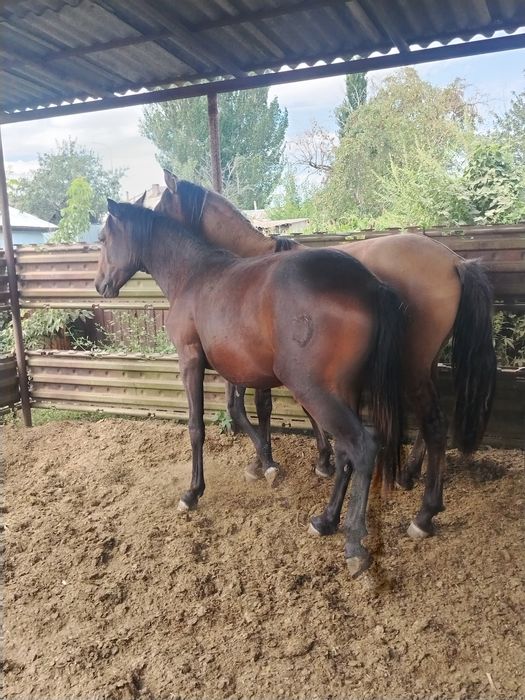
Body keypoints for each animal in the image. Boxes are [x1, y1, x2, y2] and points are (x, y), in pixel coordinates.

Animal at [95, 199, 406, 577]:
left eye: (103, 238)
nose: (99, 284)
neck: (193, 276)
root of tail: (370, 286)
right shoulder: (235, 370)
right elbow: (240, 412)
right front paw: (266, 463)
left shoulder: (190, 361)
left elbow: (197, 427)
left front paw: (192, 493)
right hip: (342, 391)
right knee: (346, 451)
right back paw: (325, 520)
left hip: (315, 391)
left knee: (361, 447)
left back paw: (354, 544)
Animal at [154, 171, 497, 540]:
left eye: (160, 205)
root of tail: (455, 261)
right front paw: (315, 461)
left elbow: (259, 407)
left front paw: (271, 463)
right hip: (423, 364)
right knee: (431, 422)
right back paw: (409, 475)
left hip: (412, 367)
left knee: (433, 423)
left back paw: (423, 515)